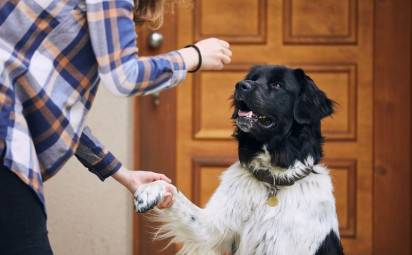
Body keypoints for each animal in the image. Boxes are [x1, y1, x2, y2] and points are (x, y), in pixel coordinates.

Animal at [134, 64, 344, 254]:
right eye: (252, 78)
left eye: (277, 84)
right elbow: (177, 196)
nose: (241, 85)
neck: (272, 181)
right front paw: (150, 189)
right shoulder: (212, 229)